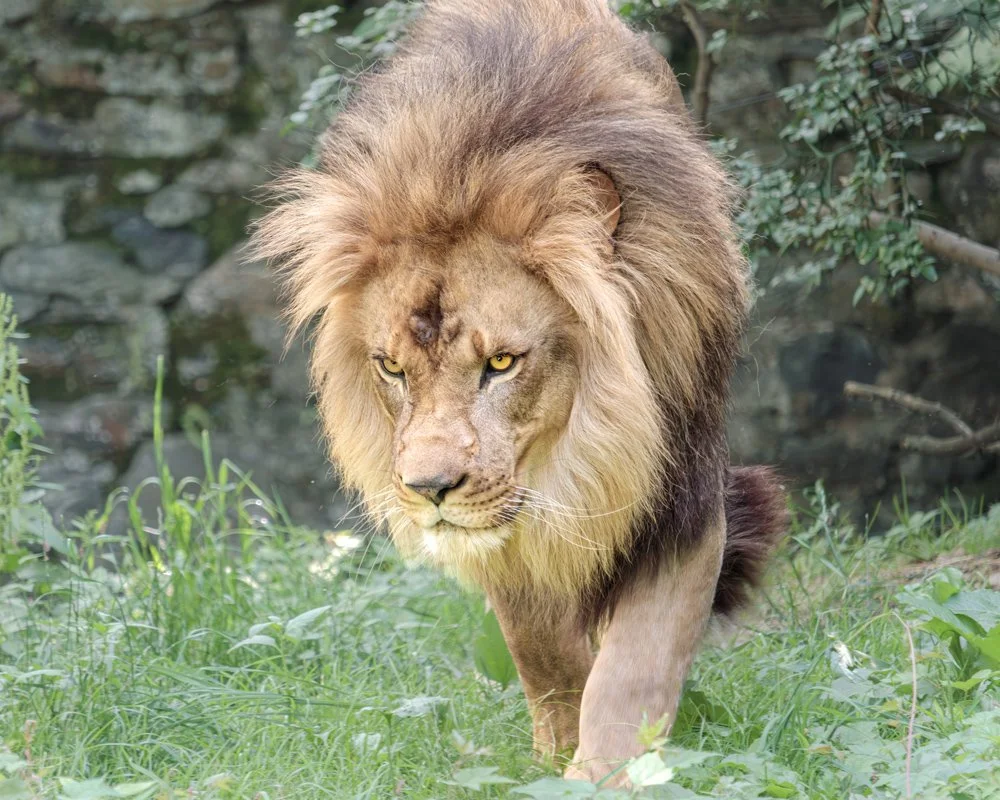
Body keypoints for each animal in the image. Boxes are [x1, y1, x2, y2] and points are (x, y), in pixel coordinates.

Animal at [252, 0, 787, 786]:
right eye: (391, 369)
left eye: (501, 362)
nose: (430, 489)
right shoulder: (505, 530)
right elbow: (543, 649)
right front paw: (557, 752)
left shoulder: (682, 496)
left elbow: (637, 661)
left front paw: (605, 775)